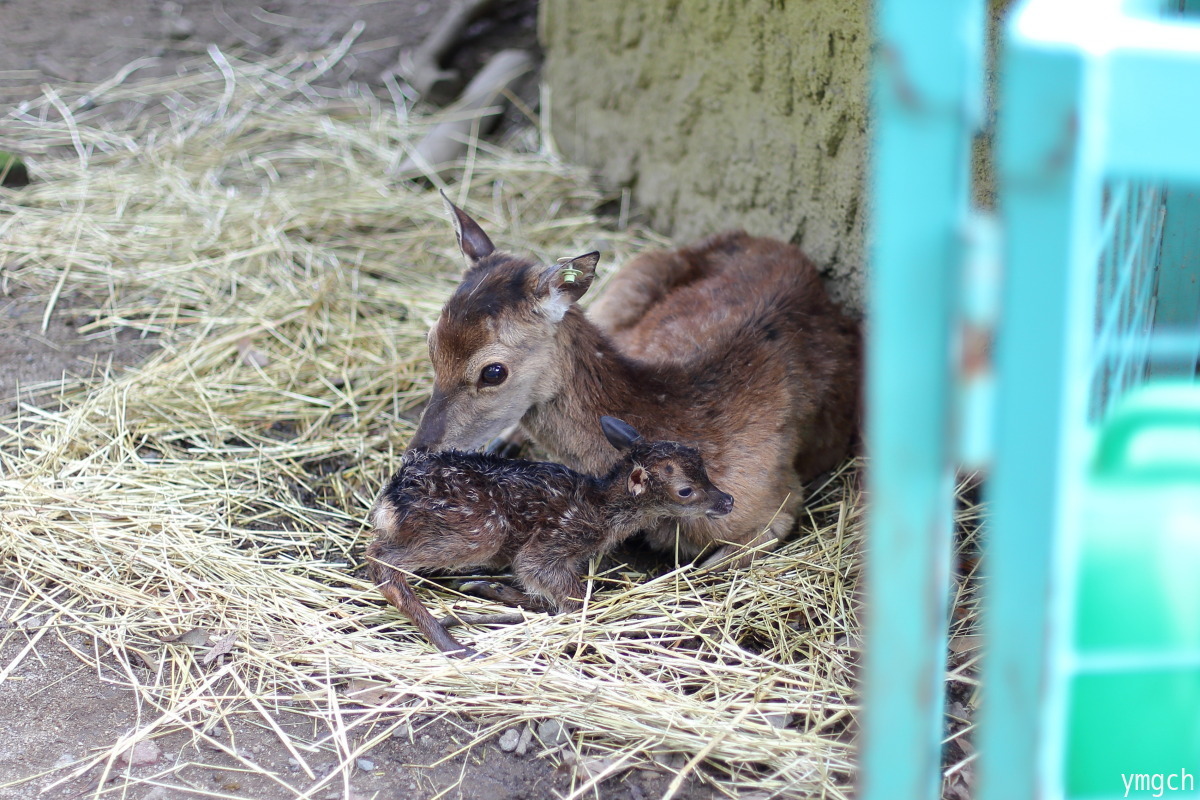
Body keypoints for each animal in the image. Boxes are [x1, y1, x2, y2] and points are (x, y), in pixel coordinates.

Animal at [367, 412, 729, 657]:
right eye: (685, 490)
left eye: (702, 464)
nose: (728, 500)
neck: (602, 511)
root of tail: (392, 500)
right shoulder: (555, 539)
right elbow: (571, 595)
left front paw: (489, 588)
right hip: (482, 529)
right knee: (381, 559)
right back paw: (454, 643)